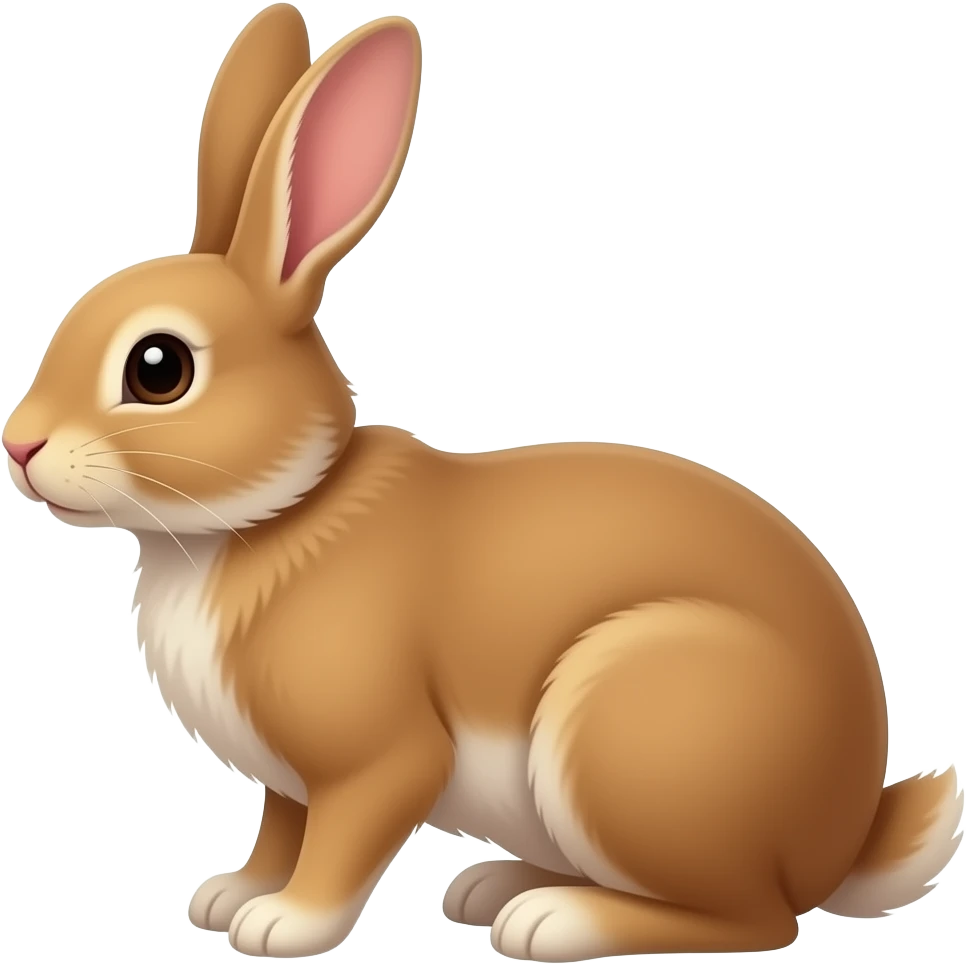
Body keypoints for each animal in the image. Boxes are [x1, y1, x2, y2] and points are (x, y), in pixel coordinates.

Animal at [3, 4, 962, 962]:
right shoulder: (289, 779)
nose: (19, 445)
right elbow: (280, 827)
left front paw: (283, 924)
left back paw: (550, 920)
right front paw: (230, 894)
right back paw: (496, 885)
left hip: (628, 728)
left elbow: (340, 840)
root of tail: (845, 835)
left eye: (158, 368)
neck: (271, 514)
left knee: (751, 918)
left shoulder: (376, 759)